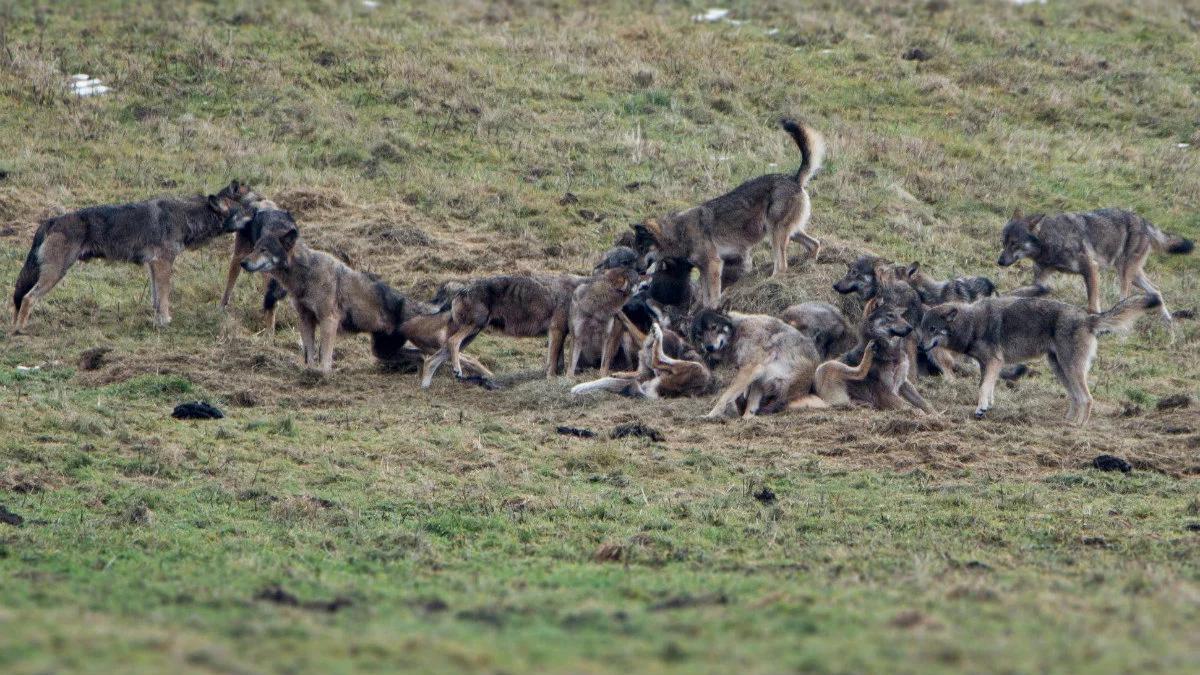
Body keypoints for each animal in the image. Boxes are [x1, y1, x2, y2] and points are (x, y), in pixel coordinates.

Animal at [236, 208, 410, 369]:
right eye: (254, 248)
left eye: (264, 250)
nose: (242, 263)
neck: (306, 274)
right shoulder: (305, 319)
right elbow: (310, 354)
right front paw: (310, 372)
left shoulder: (329, 320)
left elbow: (325, 356)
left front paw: (322, 375)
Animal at [628, 118, 825, 305]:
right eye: (636, 249)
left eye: (642, 248)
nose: (636, 269)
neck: (679, 232)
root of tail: (794, 179)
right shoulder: (704, 269)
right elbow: (705, 298)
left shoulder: (714, 265)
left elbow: (712, 299)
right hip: (788, 233)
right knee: (815, 244)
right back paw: (809, 265)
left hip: (776, 235)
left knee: (783, 266)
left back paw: (767, 284)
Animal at [916, 291, 1161, 422]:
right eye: (922, 327)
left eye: (932, 329)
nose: (919, 345)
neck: (972, 323)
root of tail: (1087, 317)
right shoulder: (989, 365)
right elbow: (989, 387)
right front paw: (988, 407)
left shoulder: (994, 362)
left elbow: (983, 388)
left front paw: (981, 408)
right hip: (1059, 368)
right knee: (1077, 398)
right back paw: (1068, 423)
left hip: (1070, 368)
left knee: (1088, 398)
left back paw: (1078, 427)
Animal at [993, 206, 1190, 319]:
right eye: (1003, 242)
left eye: (1015, 244)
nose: (1000, 261)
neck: (1050, 241)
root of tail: (1143, 221)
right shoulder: (1040, 282)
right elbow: (1017, 292)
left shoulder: (1090, 268)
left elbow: (1092, 303)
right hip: (1134, 275)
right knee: (1156, 291)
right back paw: (1169, 327)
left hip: (1125, 274)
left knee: (1127, 297)